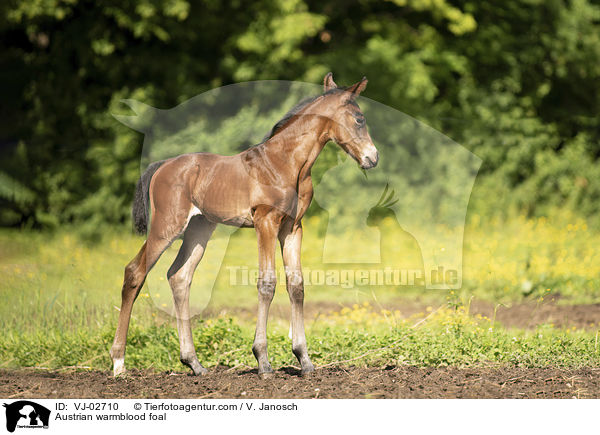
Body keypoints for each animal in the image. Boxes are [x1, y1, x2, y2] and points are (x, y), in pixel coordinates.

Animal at [110, 72, 378, 378]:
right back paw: (118, 363)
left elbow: (296, 284)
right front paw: (262, 361)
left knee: (179, 276)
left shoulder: (292, 227)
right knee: (135, 272)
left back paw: (194, 364)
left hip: (199, 229)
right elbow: (267, 283)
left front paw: (304, 360)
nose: (373, 158)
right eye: (359, 118)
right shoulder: (265, 222)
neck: (286, 163)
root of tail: (163, 165)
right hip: (167, 227)